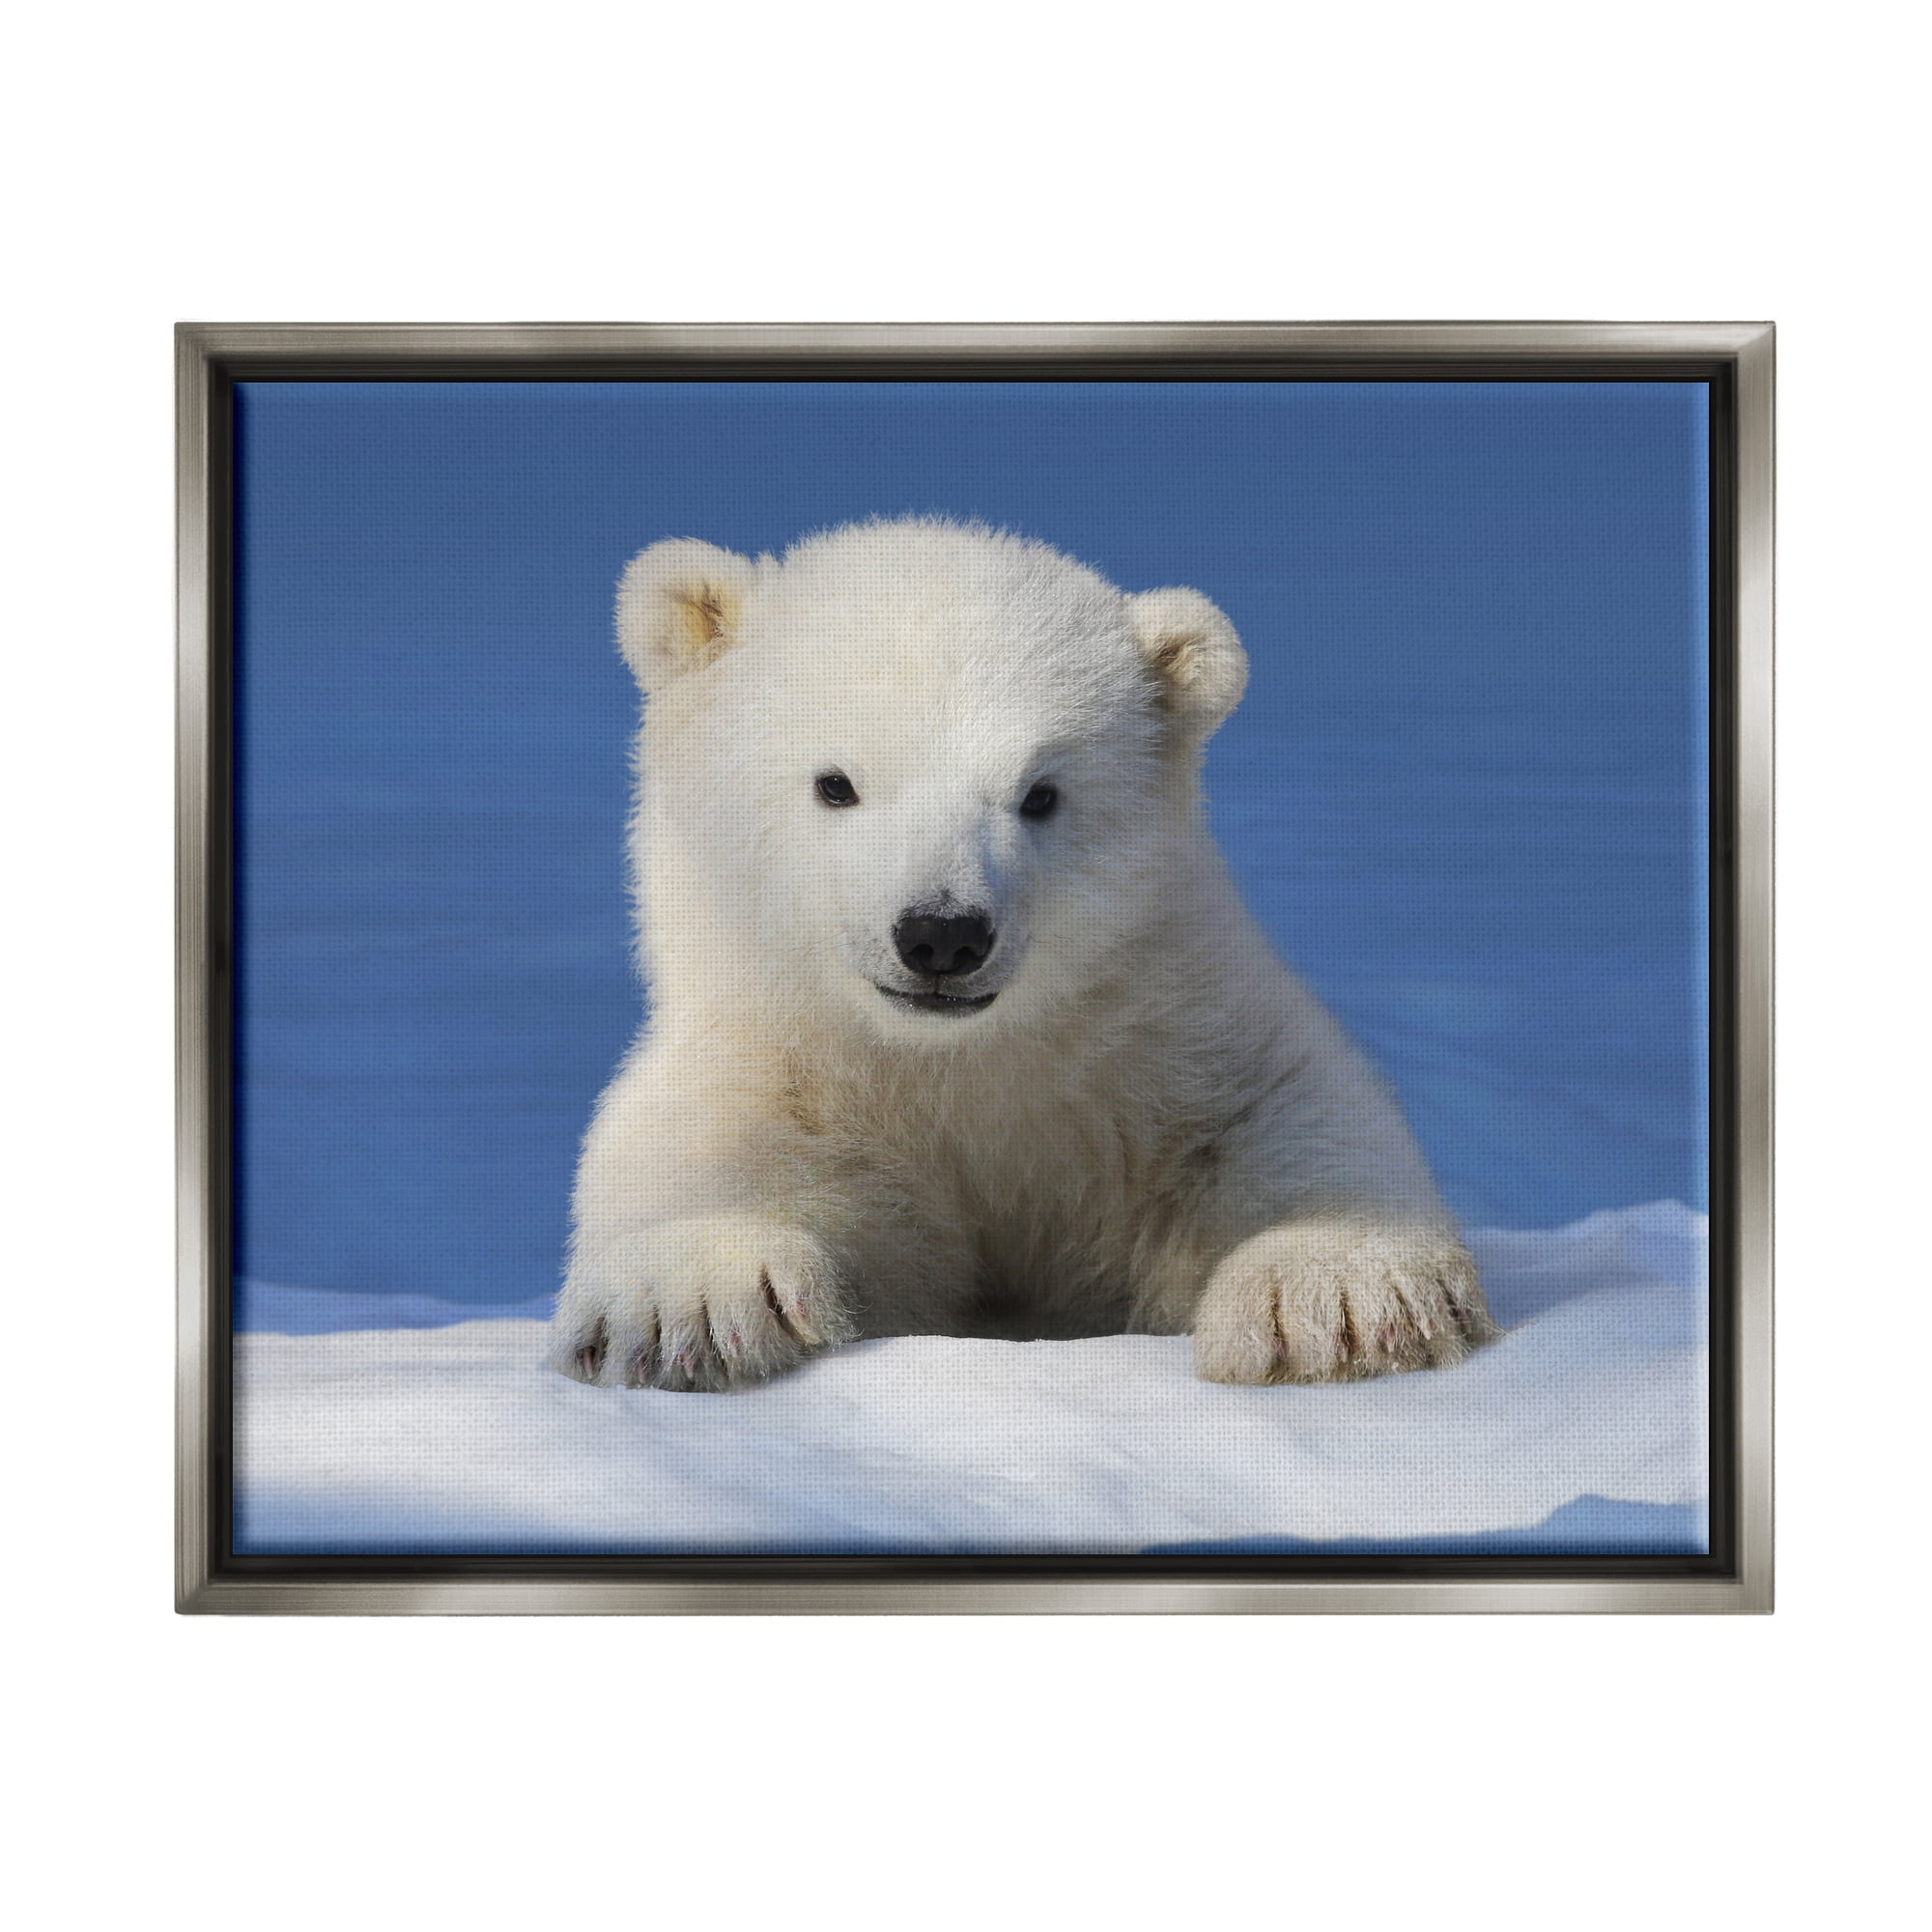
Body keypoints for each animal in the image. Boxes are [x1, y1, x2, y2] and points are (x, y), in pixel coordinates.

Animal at [550, 517, 1496, 1393]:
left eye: (1040, 794)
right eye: (836, 784)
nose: (943, 934)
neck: (958, 1066)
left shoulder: (1163, 1034)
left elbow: (1283, 1108)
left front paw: (1335, 1296)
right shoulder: (782, 1063)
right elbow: (697, 1148)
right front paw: (692, 1306)